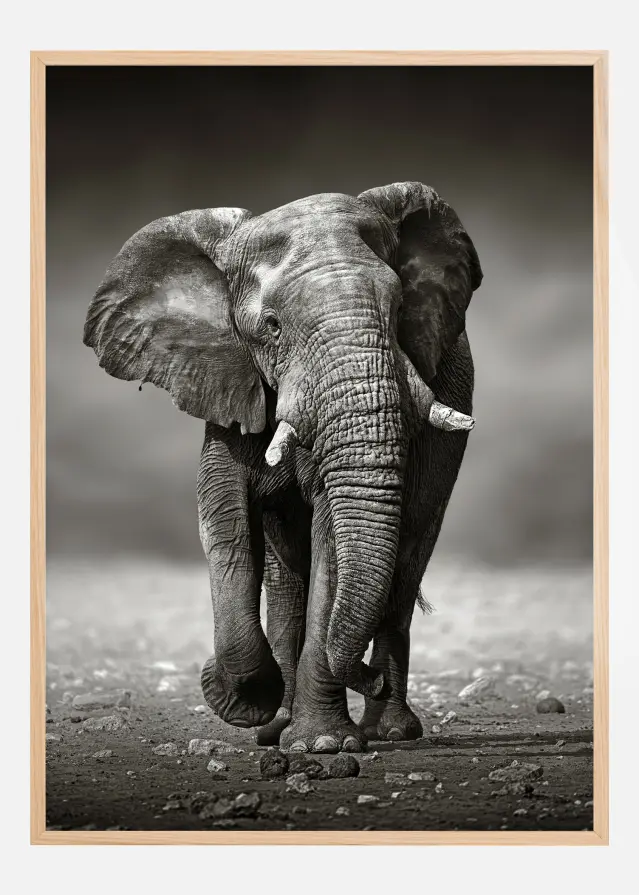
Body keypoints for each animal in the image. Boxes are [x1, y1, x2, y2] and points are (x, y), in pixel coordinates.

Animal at [83, 181, 482, 754]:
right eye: (270, 327)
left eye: (399, 308)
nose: (368, 678)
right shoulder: (229, 381)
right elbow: (224, 520)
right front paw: (245, 701)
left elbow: (332, 538)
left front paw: (324, 745)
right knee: (288, 577)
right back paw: (278, 727)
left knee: (406, 560)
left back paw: (388, 731)